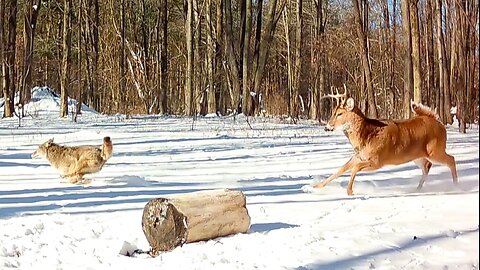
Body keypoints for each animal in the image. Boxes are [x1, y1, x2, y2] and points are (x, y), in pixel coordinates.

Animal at [312, 86, 458, 196]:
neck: (365, 136)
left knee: (451, 159)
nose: (327, 127)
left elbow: (354, 168)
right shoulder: (358, 156)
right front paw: (316, 186)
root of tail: (438, 122)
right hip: (418, 155)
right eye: (333, 112)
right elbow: (341, 169)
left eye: (340, 114)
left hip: (435, 150)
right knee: (427, 166)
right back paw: (417, 189)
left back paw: (456, 186)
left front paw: (349, 191)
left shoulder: (378, 160)